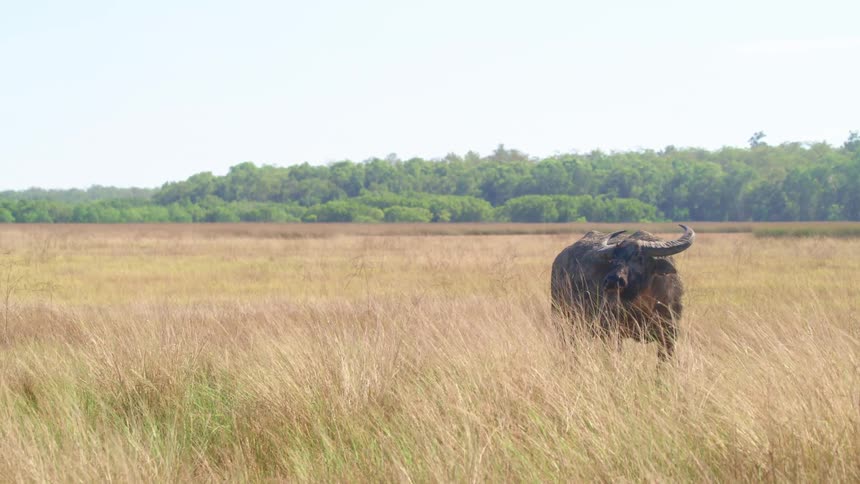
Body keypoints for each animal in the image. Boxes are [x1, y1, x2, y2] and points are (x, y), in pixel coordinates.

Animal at [550, 224, 695, 360]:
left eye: (639, 257)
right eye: (614, 259)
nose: (612, 281)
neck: (644, 304)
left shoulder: (669, 334)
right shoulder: (612, 333)